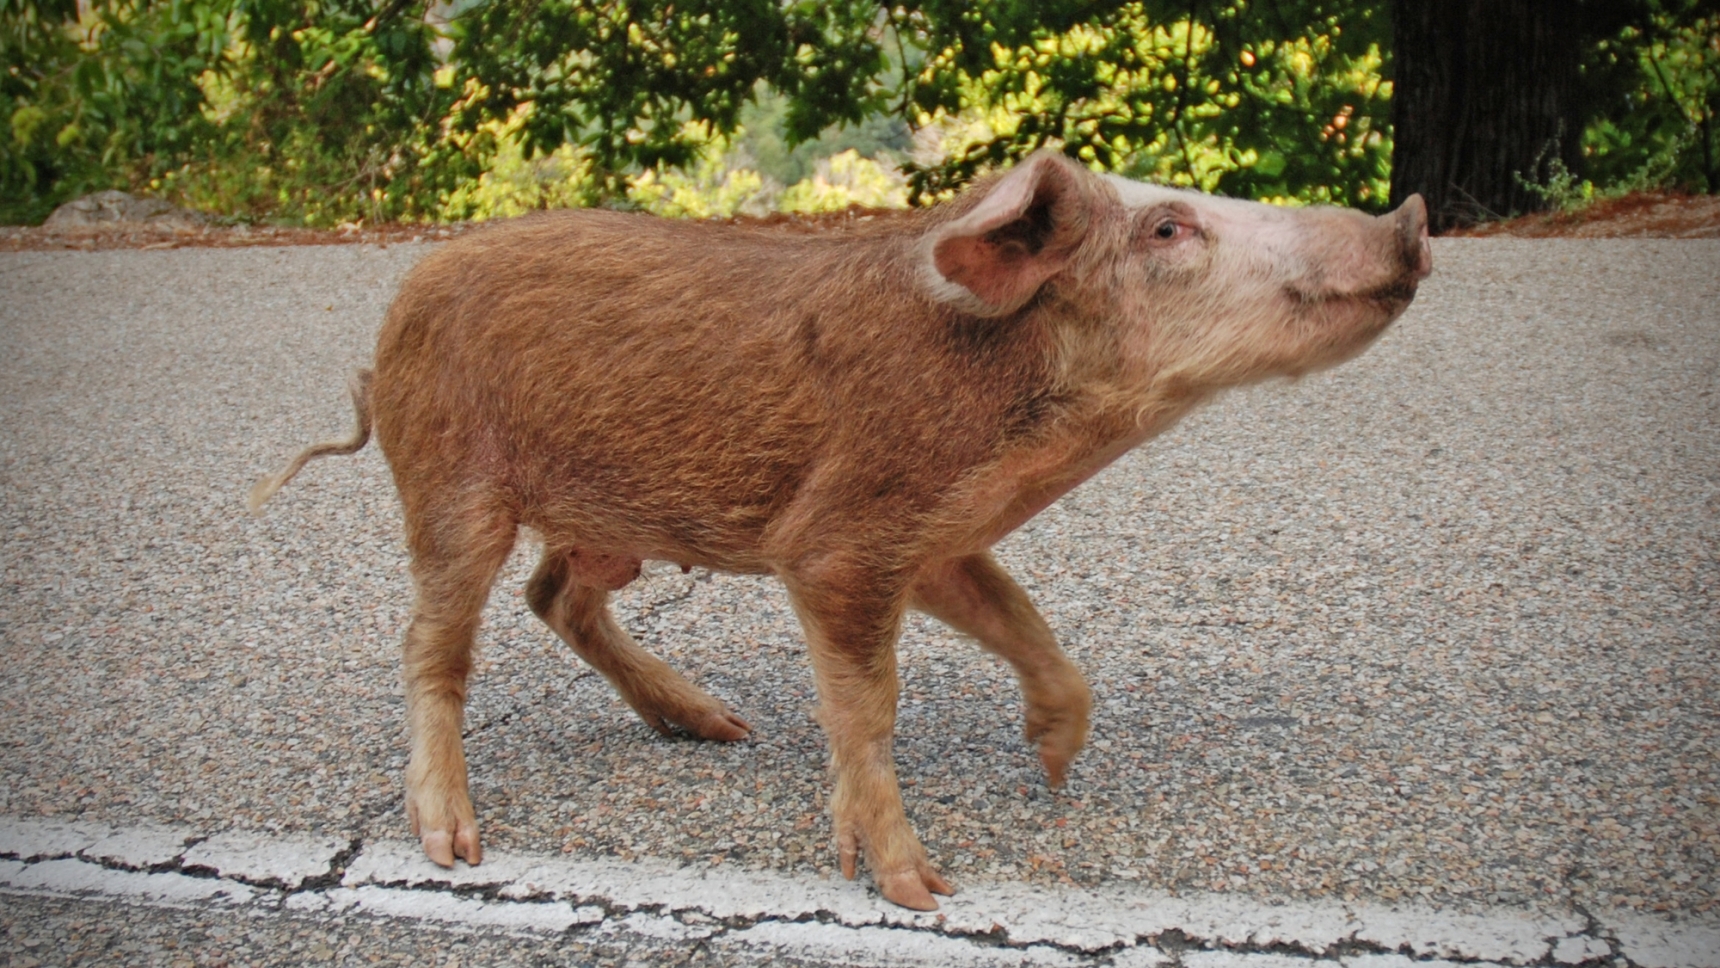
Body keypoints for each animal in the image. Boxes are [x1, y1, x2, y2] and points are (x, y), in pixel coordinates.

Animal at [251, 149, 1437, 907]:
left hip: (609, 521)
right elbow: (868, 705)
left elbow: (1034, 631)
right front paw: (922, 891)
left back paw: (718, 728)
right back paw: (454, 843)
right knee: (432, 641)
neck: (1032, 426)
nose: (1411, 218)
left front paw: (1052, 765)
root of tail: (396, 310)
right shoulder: (839, 541)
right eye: (1167, 227)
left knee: (558, 594)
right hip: (451, 480)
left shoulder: (941, 538)